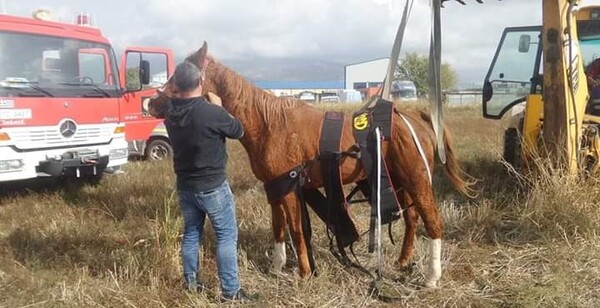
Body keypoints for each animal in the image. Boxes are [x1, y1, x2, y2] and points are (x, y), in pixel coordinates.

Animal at [149, 42, 474, 288]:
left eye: (179, 76)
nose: (151, 104)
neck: (269, 125)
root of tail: (415, 117)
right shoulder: (275, 188)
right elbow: (279, 227)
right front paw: (278, 267)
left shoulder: (290, 187)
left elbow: (295, 228)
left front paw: (304, 274)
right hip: (398, 181)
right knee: (412, 219)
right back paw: (404, 260)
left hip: (417, 180)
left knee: (432, 222)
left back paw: (432, 278)